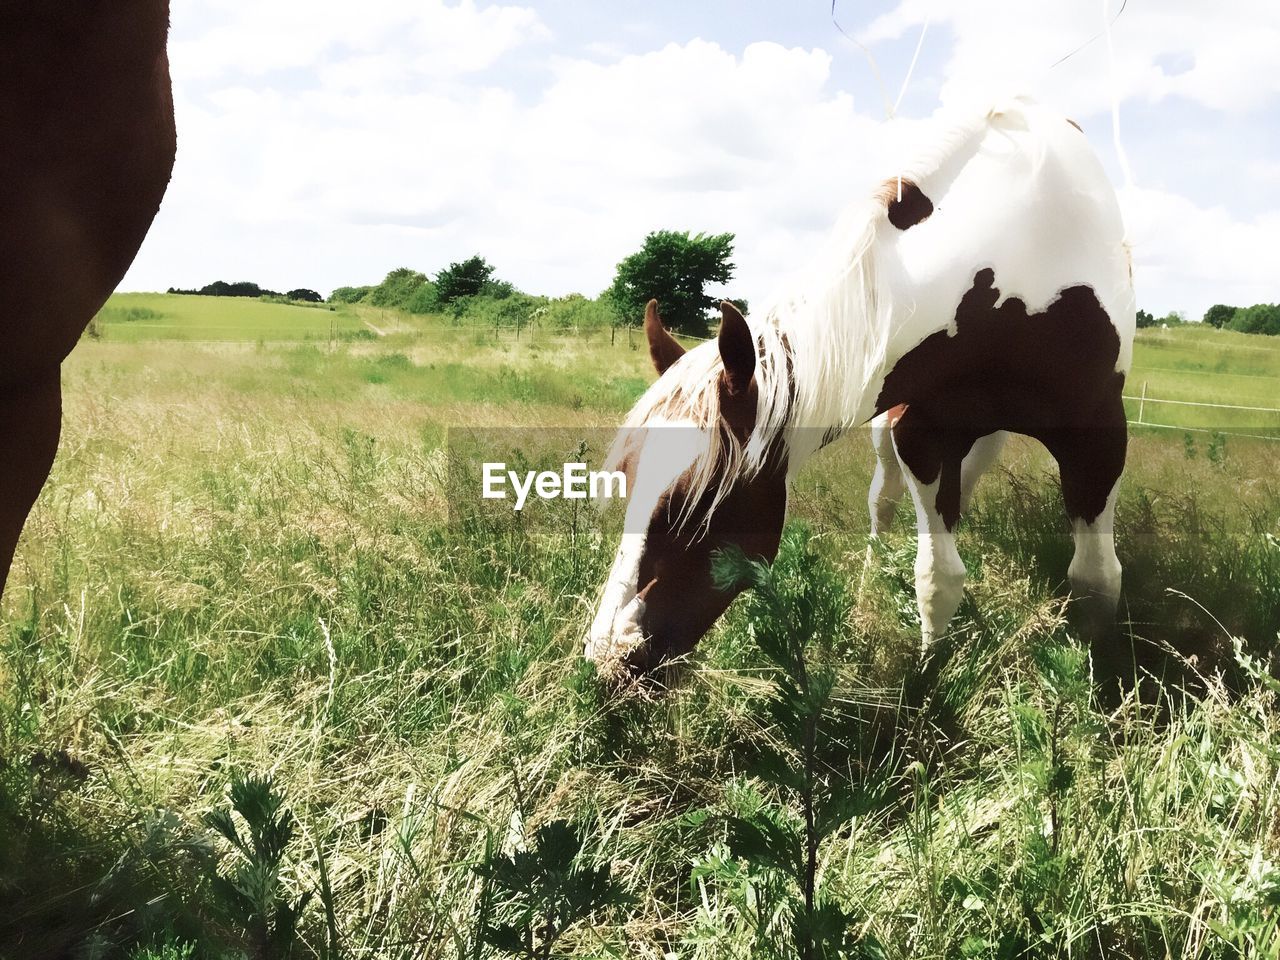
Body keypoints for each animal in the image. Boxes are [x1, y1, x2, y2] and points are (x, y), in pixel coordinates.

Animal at [586, 97, 1136, 680]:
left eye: (692, 507)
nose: (608, 658)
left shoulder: (1099, 437)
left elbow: (1096, 581)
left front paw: (1100, 680)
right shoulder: (922, 434)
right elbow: (938, 578)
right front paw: (928, 679)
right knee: (884, 504)